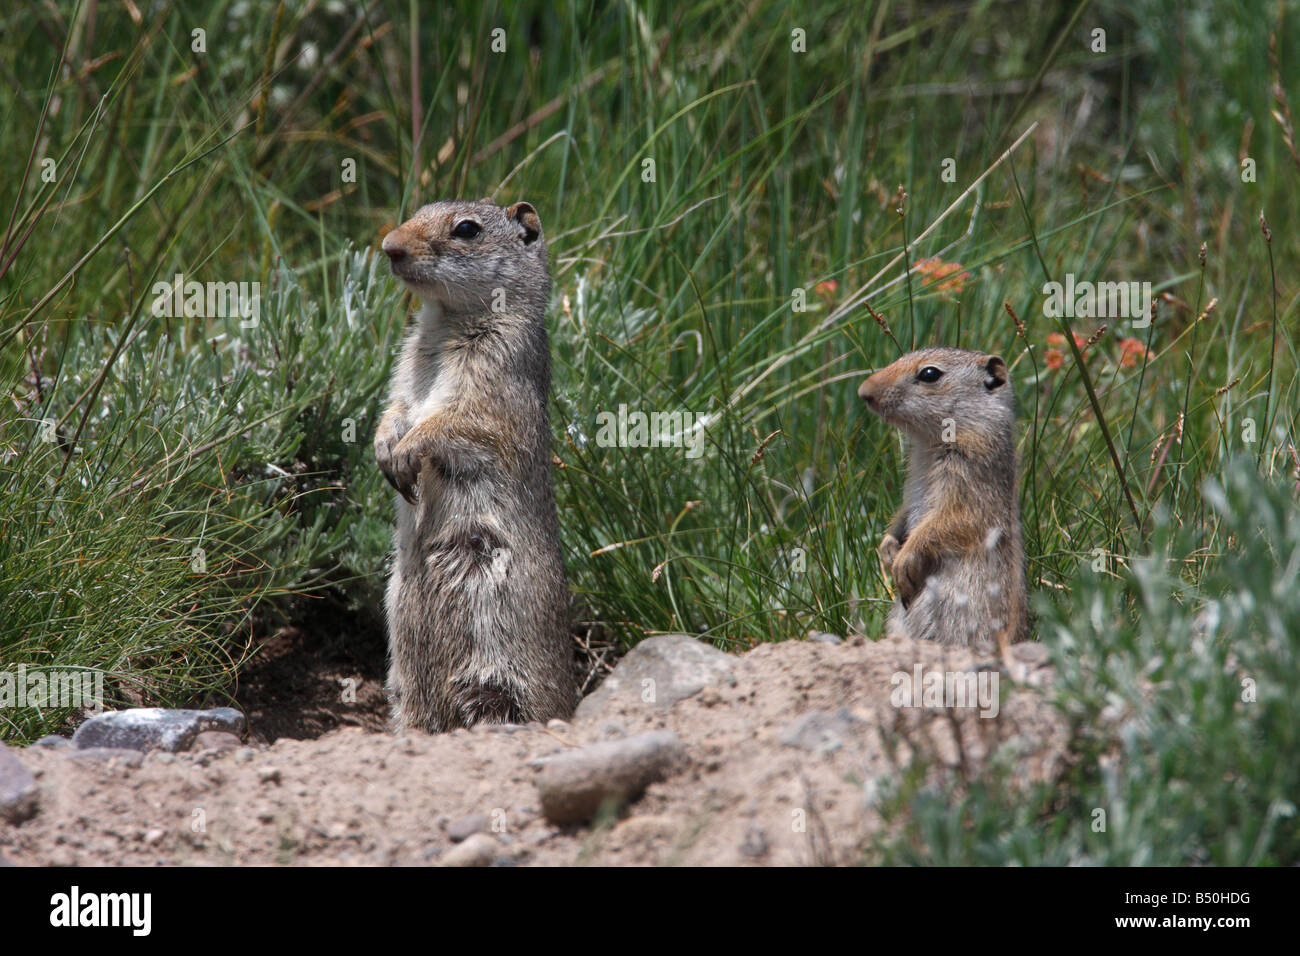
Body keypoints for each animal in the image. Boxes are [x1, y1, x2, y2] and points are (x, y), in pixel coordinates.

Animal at [379, 195, 577, 733]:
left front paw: (408, 450)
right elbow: (395, 409)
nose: (389, 246)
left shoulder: (492, 375)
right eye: (417, 211)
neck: (446, 319)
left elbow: (455, 422)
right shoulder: (404, 369)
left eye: (466, 229)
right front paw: (385, 447)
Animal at [857, 348, 1029, 655]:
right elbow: (902, 515)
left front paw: (903, 561)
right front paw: (887, 549)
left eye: (929, 374)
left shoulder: (967, 480)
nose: (863, 392)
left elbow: (948, 523)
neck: (929, 443)